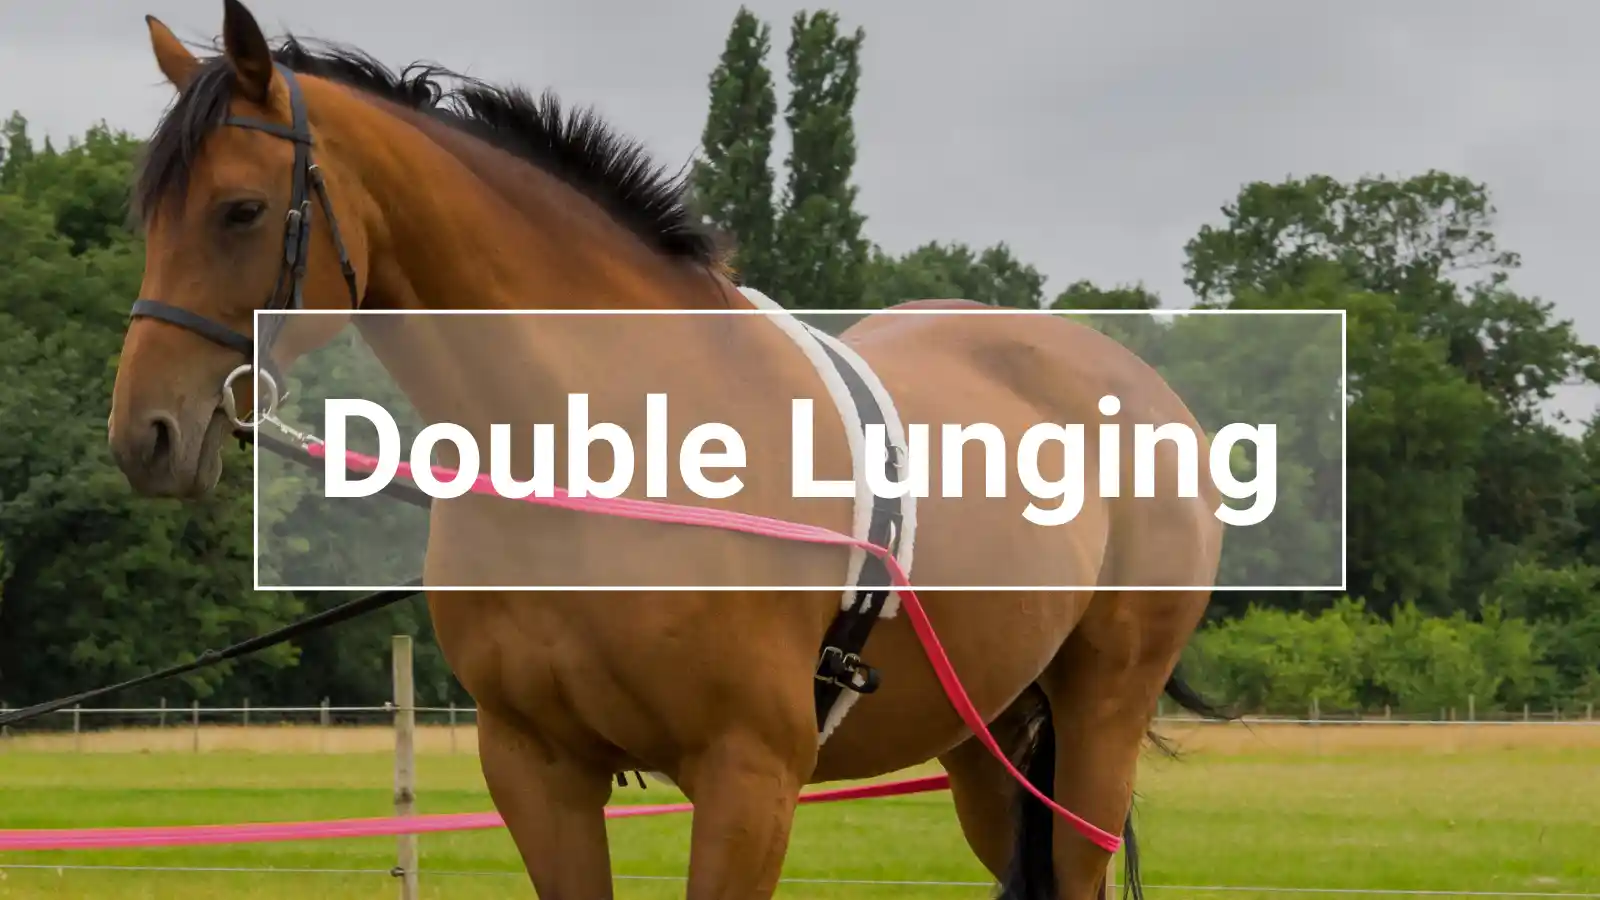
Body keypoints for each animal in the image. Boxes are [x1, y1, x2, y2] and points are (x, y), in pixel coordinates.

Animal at [105, 3, 1226, 897]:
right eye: (145, 212)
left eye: (241, 210)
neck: (612, 446)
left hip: (1097, 721)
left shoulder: (749, 777)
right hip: (990, 743)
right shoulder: (538, 769)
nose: (145, 435)